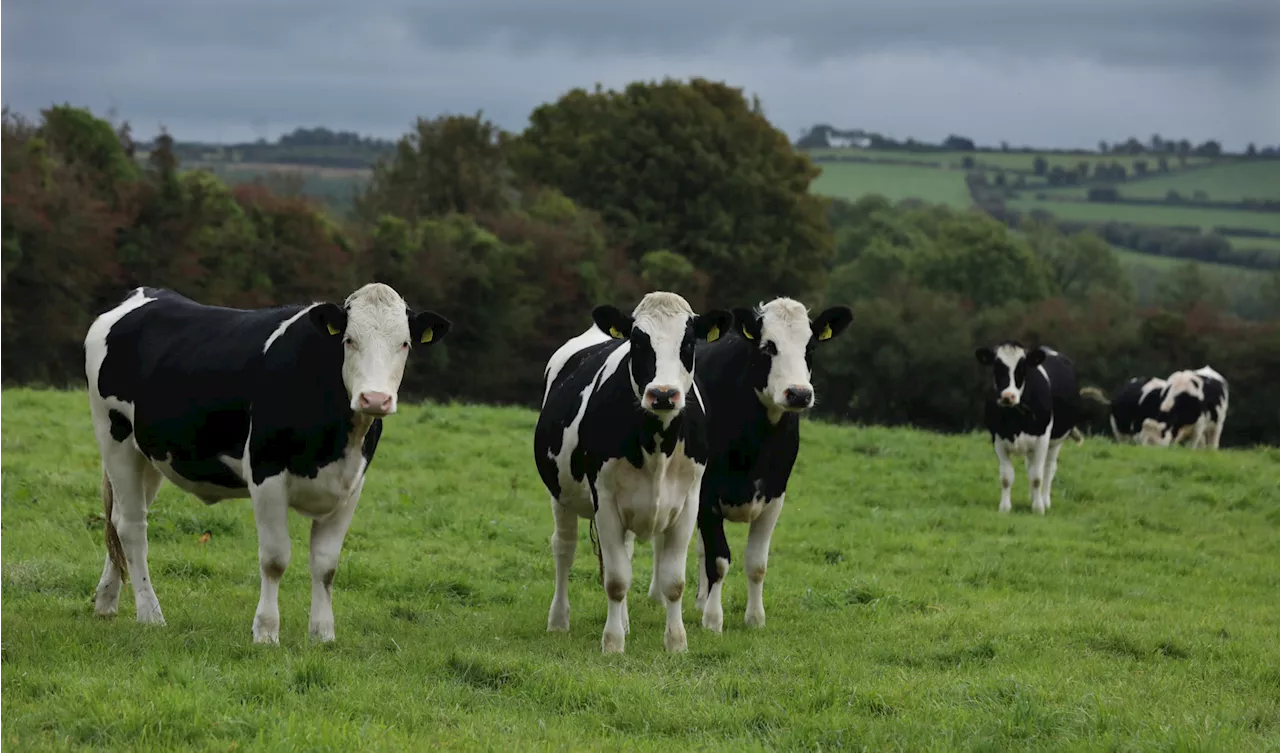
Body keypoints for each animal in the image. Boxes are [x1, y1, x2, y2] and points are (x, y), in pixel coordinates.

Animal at [85, 281, 450, 640]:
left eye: (404, 344)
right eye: (349, 340)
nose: (375, 399)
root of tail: (143, 293)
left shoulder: (350, 486)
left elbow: (326, 564)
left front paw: (322, 634)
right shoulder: (266, 474)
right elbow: (275, 559)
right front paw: (266, 632)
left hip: (149, 455)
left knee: (117, 519)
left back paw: (106, 602)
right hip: (113, 436)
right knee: (132, 526)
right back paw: (150, 615)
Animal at [529, 293, 732, 653]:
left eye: (688, 342)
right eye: (638, 341)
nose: (663, 394)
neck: (657, 442)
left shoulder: (688, 503)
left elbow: (674, 581)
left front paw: (676, 643)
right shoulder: (606, 501)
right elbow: (616, 579)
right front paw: (612, 643)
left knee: (623, 551)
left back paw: (623, 621)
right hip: (560, 494)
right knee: (564, 550)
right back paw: (559, 621)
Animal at [691, 297, 849, 632]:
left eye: (810, 348)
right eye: (769, 347)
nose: (799, 393)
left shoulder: (775, 494)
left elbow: (756, 563)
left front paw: (754, 618)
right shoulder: (706, 494)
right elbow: (719, 559)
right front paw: (713, 620)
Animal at [972, 343, 1085, 514]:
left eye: (1021, 369)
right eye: (997, 368)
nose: (1008, 396)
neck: (1015, 420)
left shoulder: (1042, 439)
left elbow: (1037, 477)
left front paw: (1038, 508)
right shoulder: (997, 439)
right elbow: (1006, 477)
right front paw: (1005, 508)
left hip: (1055, 442)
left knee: (1048, 469)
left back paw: (1045, 500)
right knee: (1030, 467)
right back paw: (1032, 497)